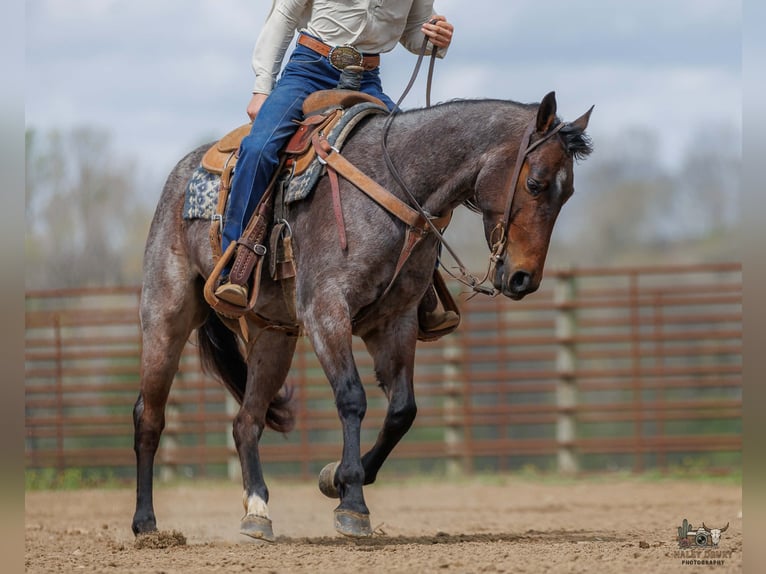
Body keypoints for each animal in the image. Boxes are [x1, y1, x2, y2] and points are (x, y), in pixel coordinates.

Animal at [131, 91, 593, 541]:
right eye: (534, 183)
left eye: (569, 193)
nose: (523, 278)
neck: (395, 187)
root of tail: (181, 173)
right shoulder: (326, 311)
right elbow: (352, 397)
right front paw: (352, 501)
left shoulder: (395, 321)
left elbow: (403, 409)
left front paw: (335, 479)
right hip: (166, 317)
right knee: (149, 415)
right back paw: (146, 523)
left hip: (273, 337)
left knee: (247, 421)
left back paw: (258, 512)